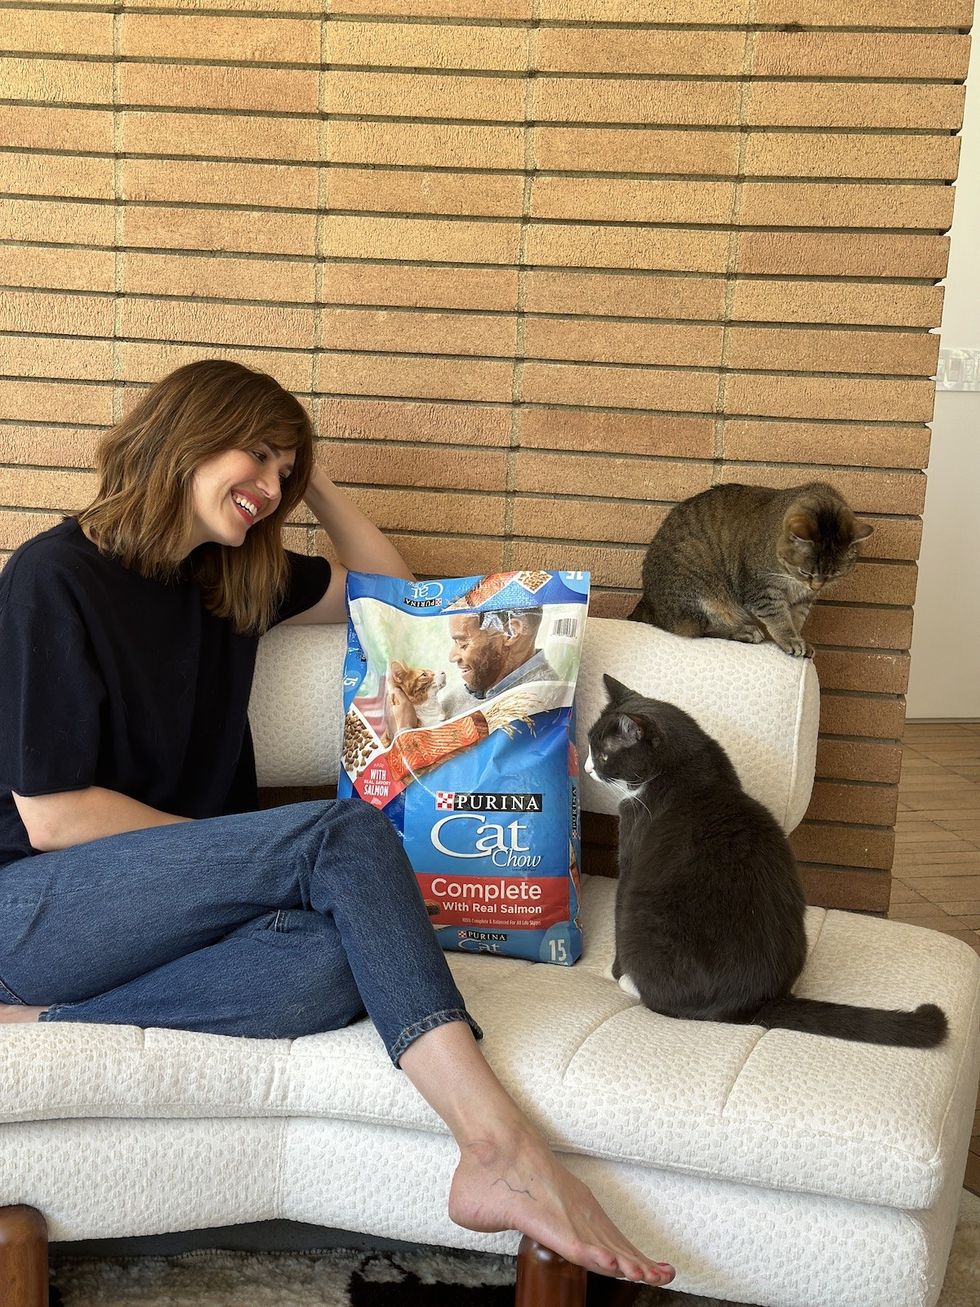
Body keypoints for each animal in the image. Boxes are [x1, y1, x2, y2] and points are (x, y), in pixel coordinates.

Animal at [588, 679, 946, 1045]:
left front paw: (614, 972)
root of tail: (756, 1004)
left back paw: (632, 983)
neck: (687, 769)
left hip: (645, 924)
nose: (587, 768)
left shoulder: (633, 838)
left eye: (603, 755)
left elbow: (619, 903)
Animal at [632, 483, 878, 653]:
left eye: (834, 574)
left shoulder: (803, 599)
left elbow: (796, 618)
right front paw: (790, 640)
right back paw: (744, 630)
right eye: (805, 572)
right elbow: (779, 618)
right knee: (697, 628)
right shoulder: (762, 589)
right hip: (699, 591)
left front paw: (800, 639)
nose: (816, 586)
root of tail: (648, 602)